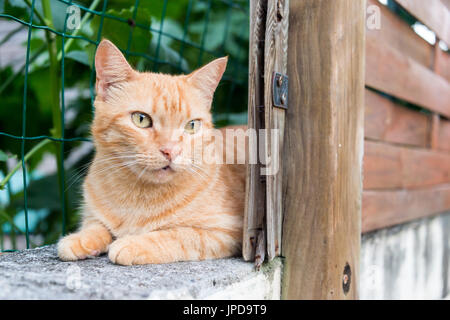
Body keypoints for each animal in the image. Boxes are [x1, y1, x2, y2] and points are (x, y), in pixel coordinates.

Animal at [58, 40, 246, 264]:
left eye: (191, 126)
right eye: (141, 119)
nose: (171, 151)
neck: (137, 195)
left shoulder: (224, 233)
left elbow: (177, 235)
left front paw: (133, 243)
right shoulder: (93, 215)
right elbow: (95, 225)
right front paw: (79, 239)